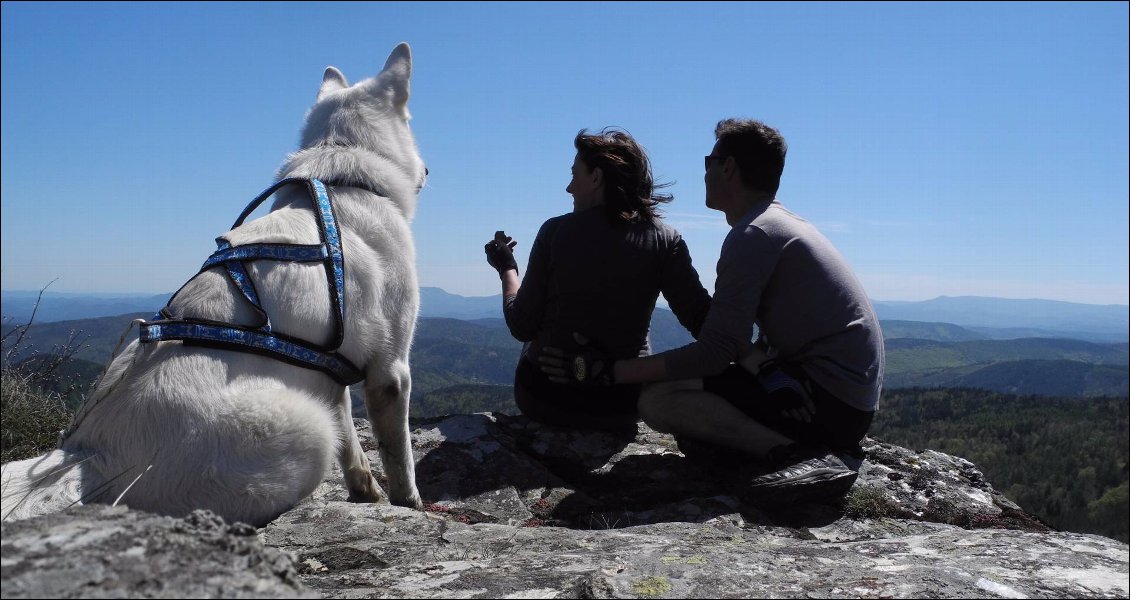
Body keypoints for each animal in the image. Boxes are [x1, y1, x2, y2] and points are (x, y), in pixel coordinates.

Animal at [2, 44, 424, 528]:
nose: (429, 170)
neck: (340, 178)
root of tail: (87, 458)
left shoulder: (329, 372)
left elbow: (352, 446)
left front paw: (365, 492)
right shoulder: (390, 370)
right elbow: (400, 456)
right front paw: (409, 503)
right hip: (303, 425)